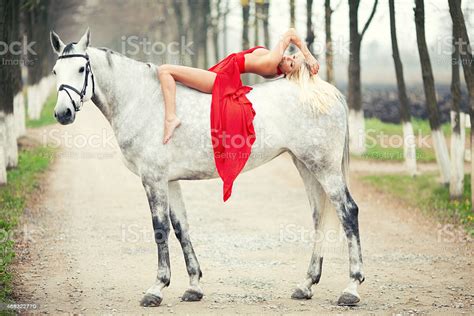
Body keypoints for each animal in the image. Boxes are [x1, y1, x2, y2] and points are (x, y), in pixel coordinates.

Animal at [50, 29, 364, 306]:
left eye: (81, 68)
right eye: (55, 71)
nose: (62, 113)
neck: (143, 101)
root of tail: (326, 91)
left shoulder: (153, 179)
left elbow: (160, 228)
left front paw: (156, 289)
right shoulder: (169, 180)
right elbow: (181, 228)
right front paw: (193, 286)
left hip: (323, 167)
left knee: (348, 212)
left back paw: (351, 288)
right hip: (305, 164)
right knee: (319, 216)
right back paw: (306, 284)